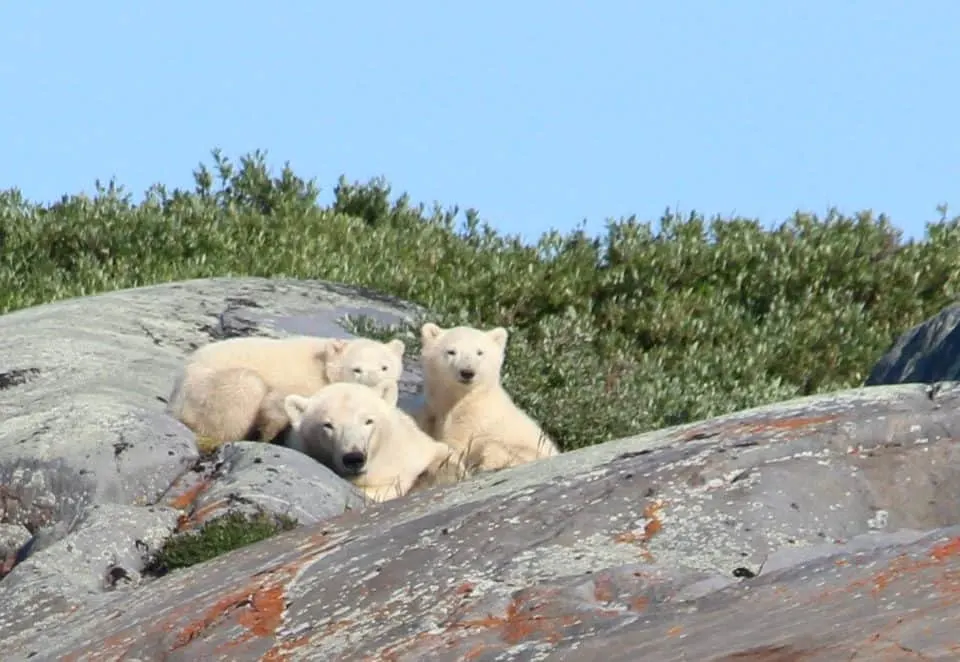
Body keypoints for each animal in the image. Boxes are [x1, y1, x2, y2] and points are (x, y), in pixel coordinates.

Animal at [168, 334, 404, 448]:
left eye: (385, 367)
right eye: (357, 369)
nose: (372, 384)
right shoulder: (305, 384)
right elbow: (277, 405)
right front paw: (269, 436)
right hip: (205, 392)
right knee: (246, 387)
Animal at [416, 322, 560, 472]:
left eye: (480, 352)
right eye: (451, 351)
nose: (467, 372)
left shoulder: (473, 420)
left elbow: (456, 444)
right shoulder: (431, 411)